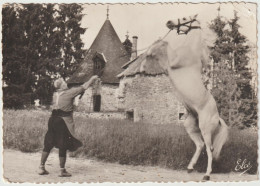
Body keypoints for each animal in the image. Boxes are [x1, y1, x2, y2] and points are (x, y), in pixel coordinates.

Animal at [141, 15, 229, 181]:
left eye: (184, 18)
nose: (169, 22)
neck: (192, 51)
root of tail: (218, 117)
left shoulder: (172, 63)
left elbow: (165, 43)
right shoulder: (167, 68)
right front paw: (144, 61)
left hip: (205, 129)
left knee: (209, 148)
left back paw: (207, 174)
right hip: (190, 126)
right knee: (200, 145)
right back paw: (190, 167)